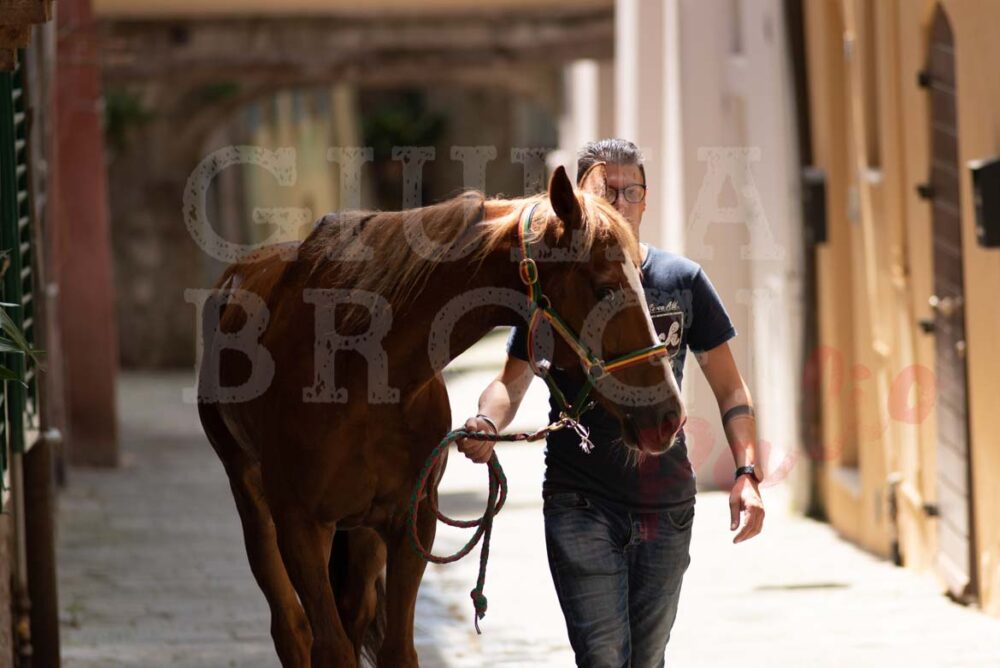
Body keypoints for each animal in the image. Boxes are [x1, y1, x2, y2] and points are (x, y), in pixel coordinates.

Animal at [196, 163, 686, 667]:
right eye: (605, 288)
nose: (668, 415)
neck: (358, 372)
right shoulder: (301, 528)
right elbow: (328, 647)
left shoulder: (410, 524)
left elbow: (396, 649)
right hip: (254, 503)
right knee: (291, 629)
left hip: (362, 534)